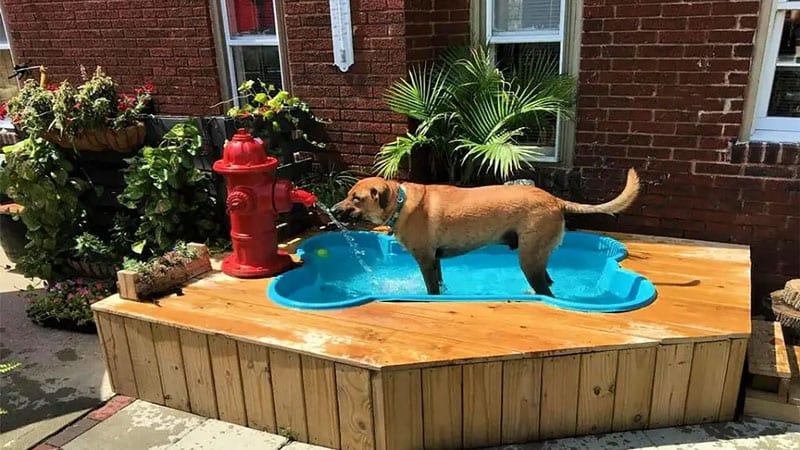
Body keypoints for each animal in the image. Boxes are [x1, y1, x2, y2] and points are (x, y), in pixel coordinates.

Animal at [330, 168, 636, 296]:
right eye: (348, 195)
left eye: (356, 198)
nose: (333, 209)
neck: (401, 203)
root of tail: (555, 200)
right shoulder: (436, 260)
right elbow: (440, 284)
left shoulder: (426, 261)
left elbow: (431, 289)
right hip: (538, 257)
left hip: (529, 258)